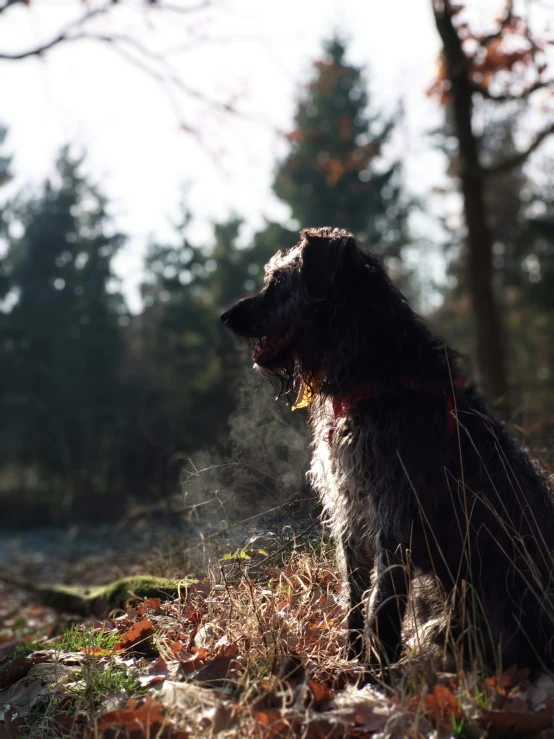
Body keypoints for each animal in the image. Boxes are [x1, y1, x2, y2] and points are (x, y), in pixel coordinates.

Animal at [220, 228, 552, 672]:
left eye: (277, 282)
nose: (224, 317)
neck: (372, 371)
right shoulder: (350, 509)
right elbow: (356, 594)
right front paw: (352, 658)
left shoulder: (395, 510)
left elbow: (383, 599)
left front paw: (375, 673)